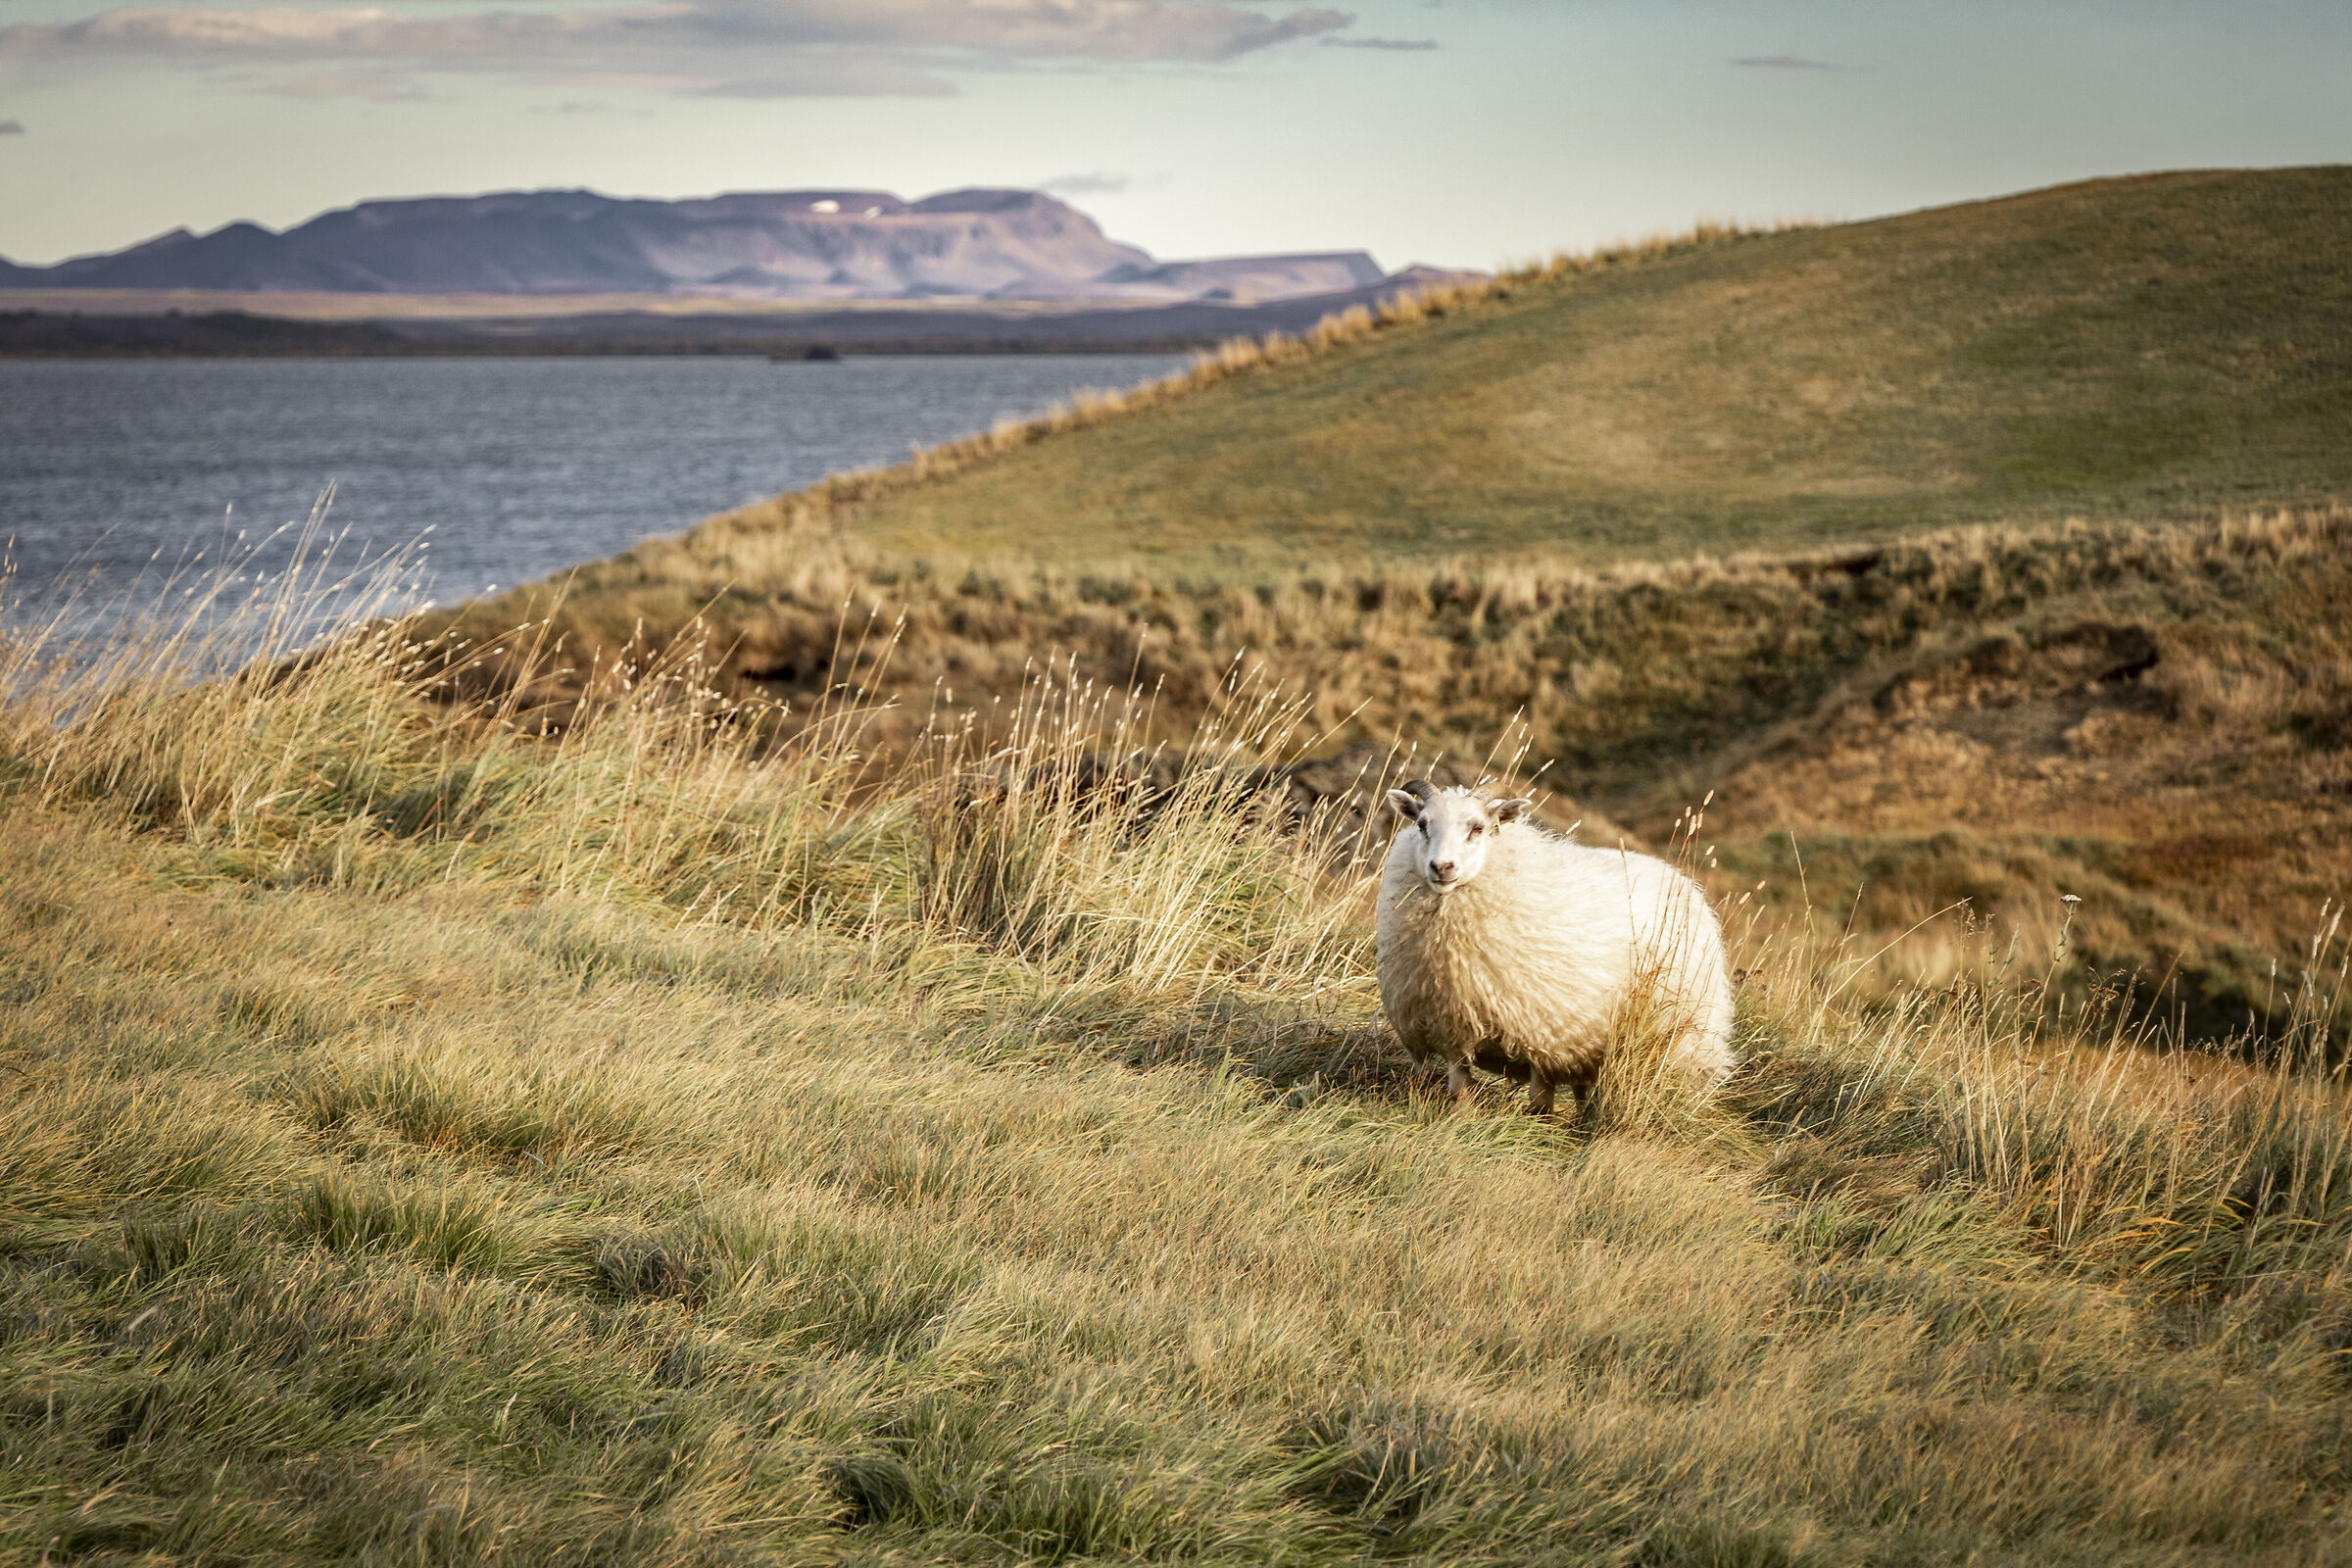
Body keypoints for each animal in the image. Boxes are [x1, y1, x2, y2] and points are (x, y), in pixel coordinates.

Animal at [1375, 780, 1736, 1114]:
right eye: (1422, 824)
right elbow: (1460, 1090)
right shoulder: (1450, 1025)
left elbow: (1540, 1104)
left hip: (1679, 1033)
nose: (1442, 867)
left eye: (1478, 828)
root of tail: (1681, 879)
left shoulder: (1544, 1032)